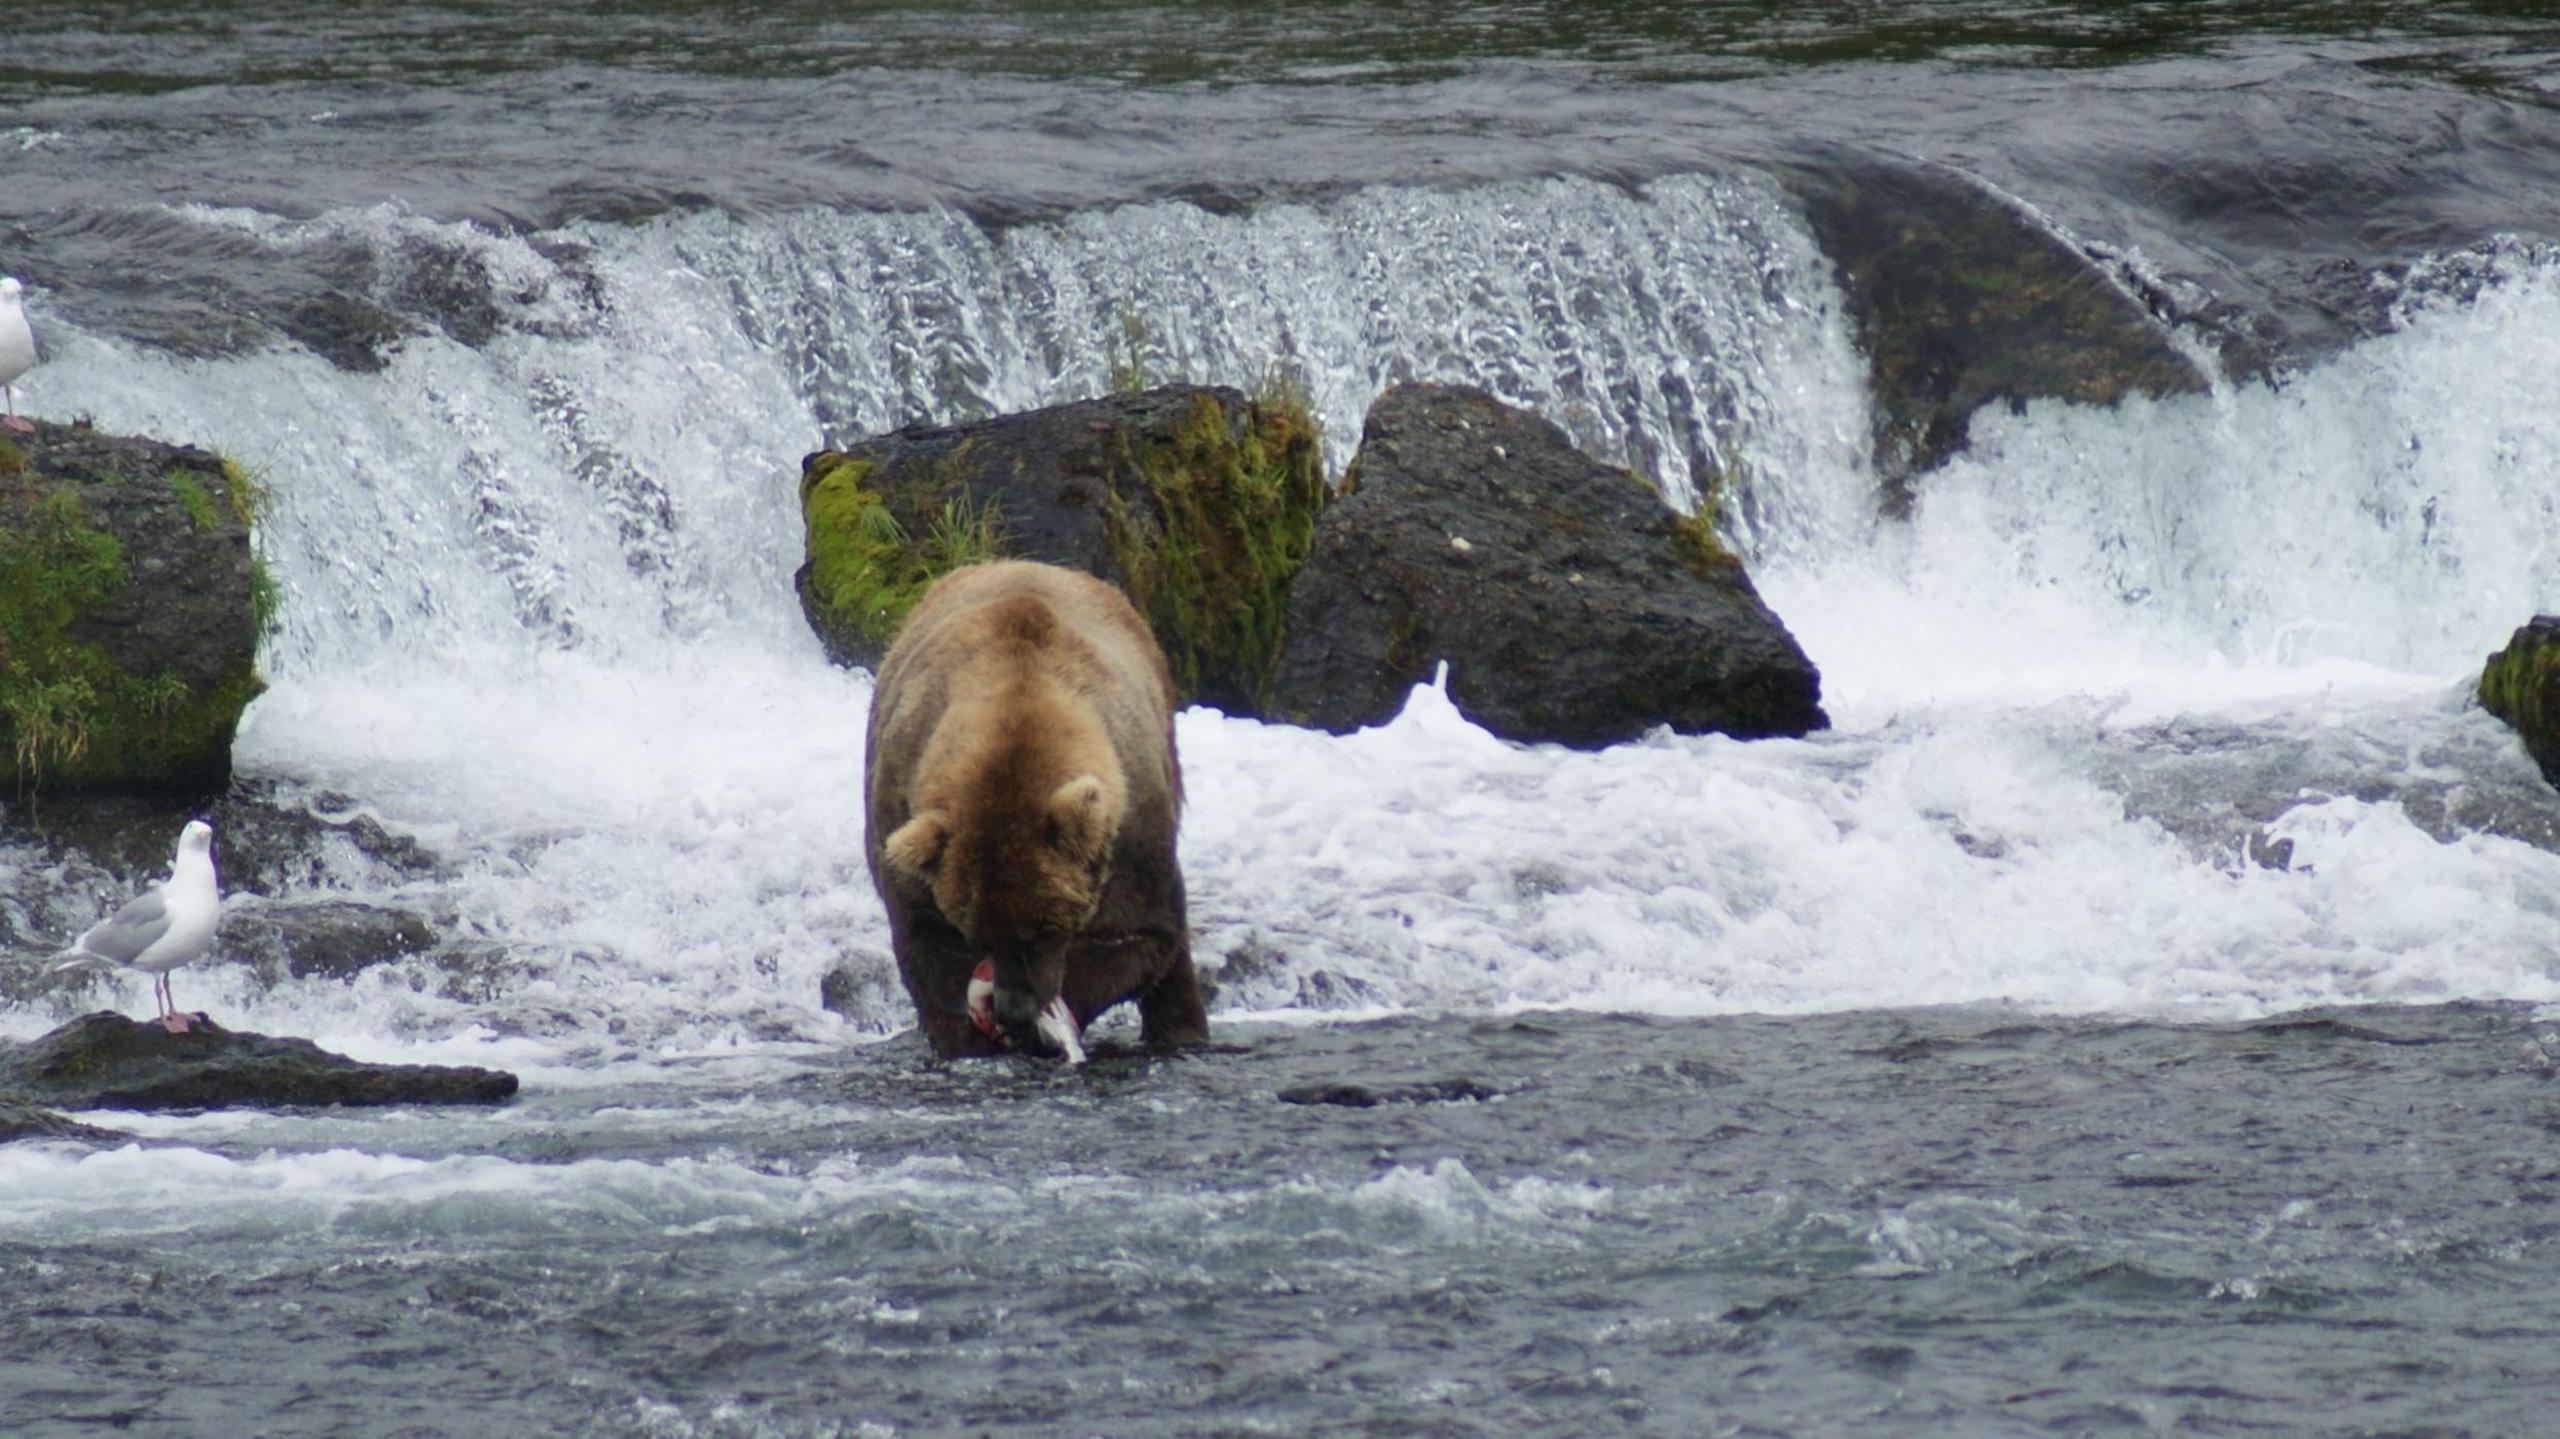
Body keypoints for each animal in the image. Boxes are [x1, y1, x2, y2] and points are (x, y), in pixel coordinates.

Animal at [860, 558, 1208, 1054]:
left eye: (1045, 928)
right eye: (975, 931)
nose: (1015, 1009)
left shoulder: (1132, 834)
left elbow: (1137, 935)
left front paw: (1048, 1019)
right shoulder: (902, 800)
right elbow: (927, 947)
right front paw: (969, 1038)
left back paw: (1182, 1032)